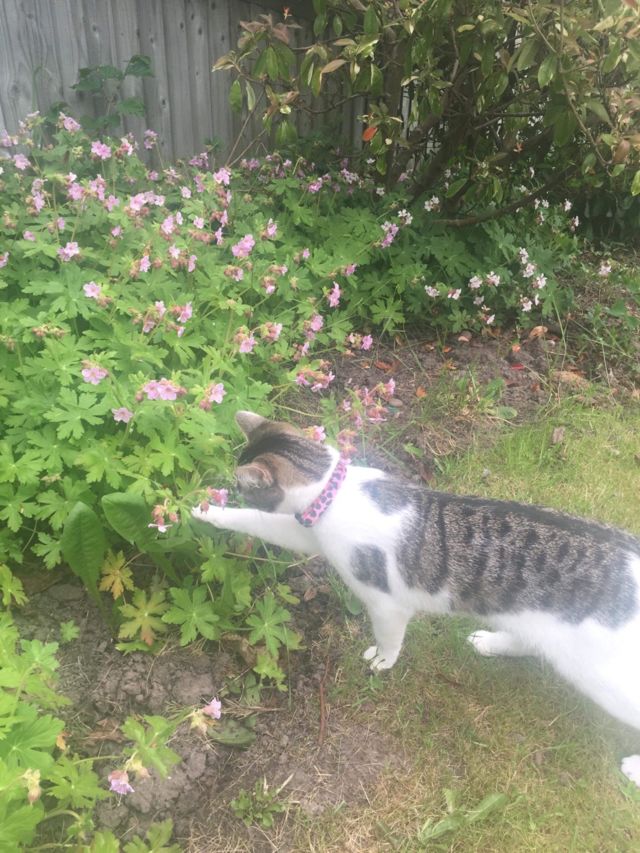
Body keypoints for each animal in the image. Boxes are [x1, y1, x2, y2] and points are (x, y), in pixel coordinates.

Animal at [192, 410, 640, 786]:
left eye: (243, 486)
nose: (230, 489)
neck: (335, 489)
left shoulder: (386, 603)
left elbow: (389, 638)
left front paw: (382, 661)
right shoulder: (310, 533)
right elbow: (264, 524)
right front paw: (206, 510)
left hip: (604, 675)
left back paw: (633, 768)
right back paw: (490, 642)